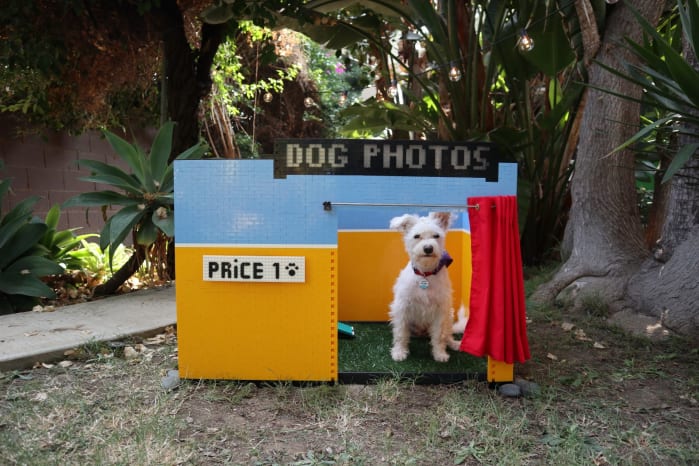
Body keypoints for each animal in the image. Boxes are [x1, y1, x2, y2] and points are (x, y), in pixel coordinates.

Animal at [388, 212, 464, 364]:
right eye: (417, 236)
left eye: (436, 235)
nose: (428, 248)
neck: (425, 274)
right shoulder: (402, 308)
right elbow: (400, 333)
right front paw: (399, 352)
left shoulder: (440, 311)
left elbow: (439, 336)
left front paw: (439, 354)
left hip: (449, 316)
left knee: (447, 334)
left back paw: (453, 343)